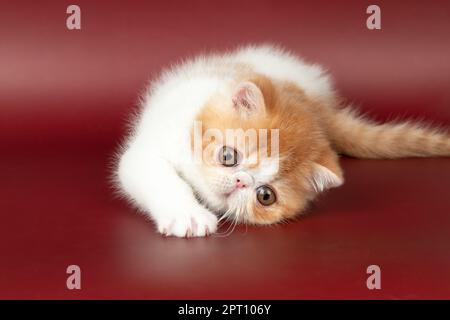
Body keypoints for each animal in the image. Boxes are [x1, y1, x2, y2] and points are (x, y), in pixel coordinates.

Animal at [116, 45, 450, 236]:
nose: (240, 181)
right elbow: (153, 172)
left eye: (266, 196)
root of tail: (319, 106)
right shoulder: (156, 141)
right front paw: (188, 216)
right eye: (228, 156)